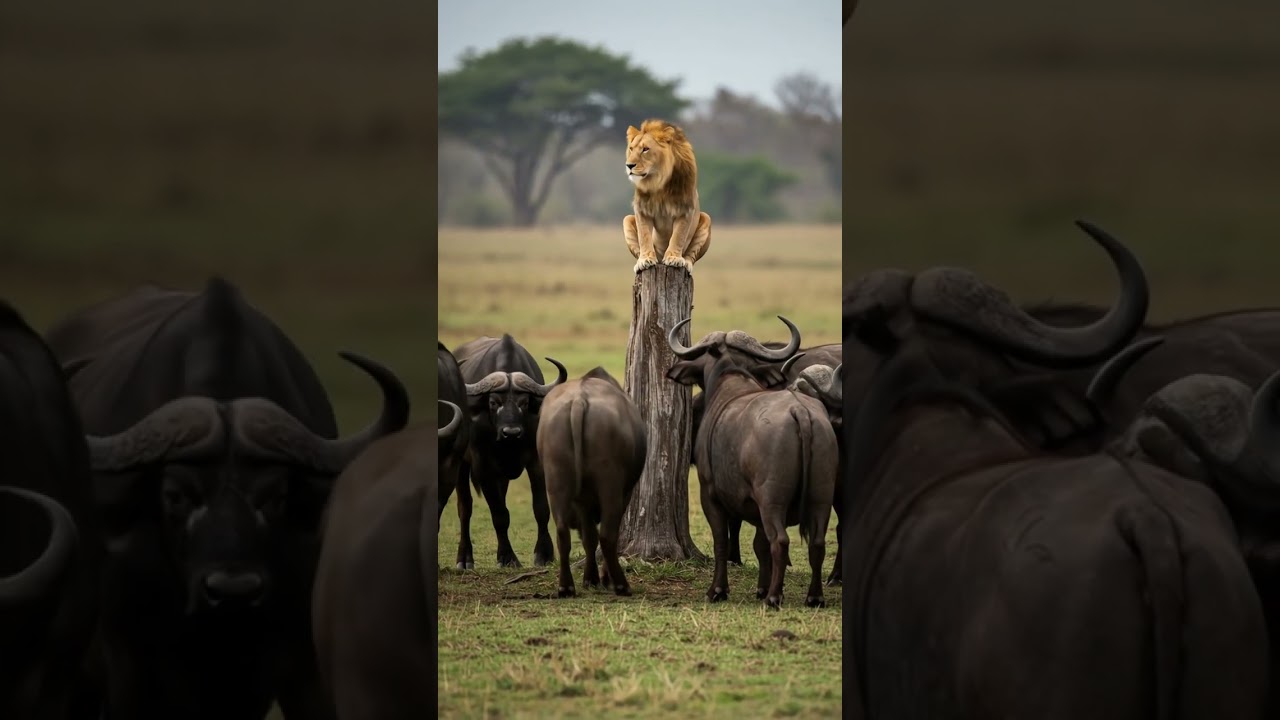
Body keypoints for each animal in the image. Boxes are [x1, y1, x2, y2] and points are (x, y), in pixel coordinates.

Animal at [622, 119, 712, 275]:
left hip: (706, 218)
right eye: (631, 149)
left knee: (691, 255)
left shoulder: (685, 209)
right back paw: (640, 263)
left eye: (645, 149)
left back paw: (686, 263)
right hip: (627, 219)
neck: (658, 181)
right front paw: (645, 260)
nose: (629, 165)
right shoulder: (641, 209)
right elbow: (644, 236)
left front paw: (674, 258)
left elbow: (678, 236)